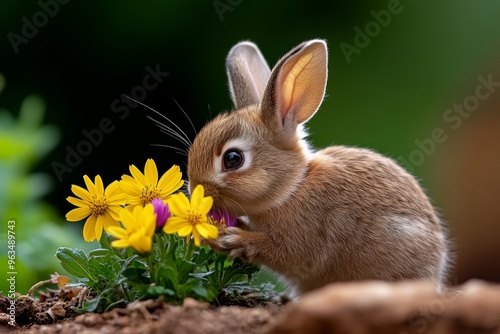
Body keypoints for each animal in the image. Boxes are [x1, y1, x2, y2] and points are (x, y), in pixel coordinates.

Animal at [187, 39, 450, 294]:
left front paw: (232, 239)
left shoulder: (304, 241)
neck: (292, 190)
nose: (195, 189)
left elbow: (284, 253)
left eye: (233, 158)